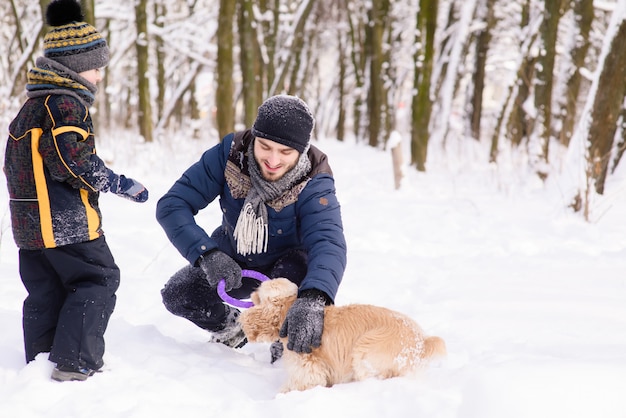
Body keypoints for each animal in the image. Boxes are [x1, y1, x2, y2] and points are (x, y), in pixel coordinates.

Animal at [238, 278, 444, 392]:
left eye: (260, 294)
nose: (252, 292)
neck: (289, 310)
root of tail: (423, 343)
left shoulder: (307, 370)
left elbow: (298, 384)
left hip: (365, 351)